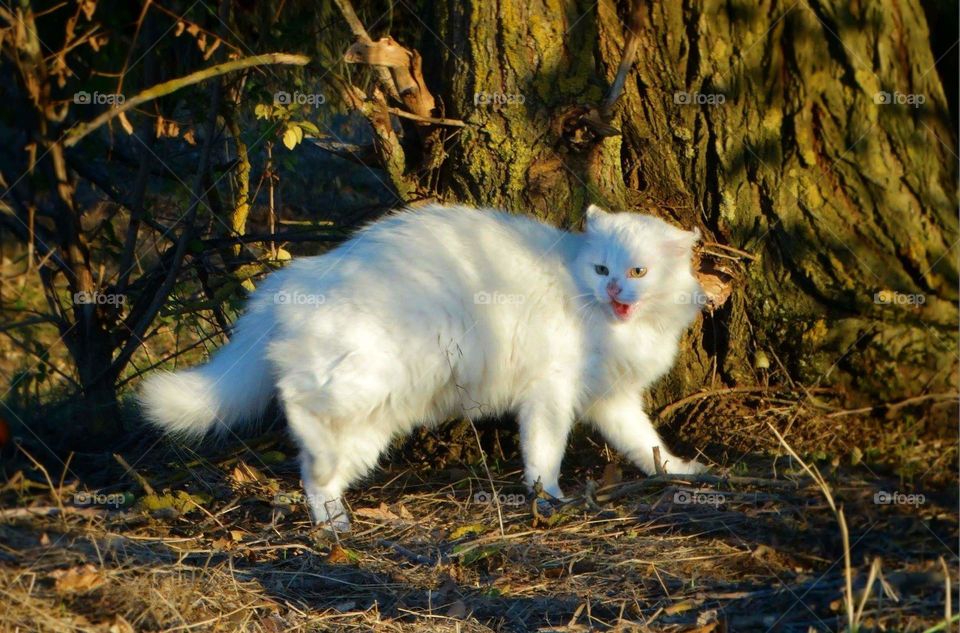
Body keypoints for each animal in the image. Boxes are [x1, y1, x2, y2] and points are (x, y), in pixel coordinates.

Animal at [139, 204, 704, 528]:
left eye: (637, 272)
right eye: (602, 268)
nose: (614, 290)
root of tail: (291, 278)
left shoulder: (612, 400)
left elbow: (645, 443)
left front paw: (682, 471)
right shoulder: (550, 393)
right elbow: (545, 453)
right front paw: (547, 499)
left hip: (377, 418)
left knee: (317, 475)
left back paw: (333, 523)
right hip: (367, 377)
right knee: (298, 404)